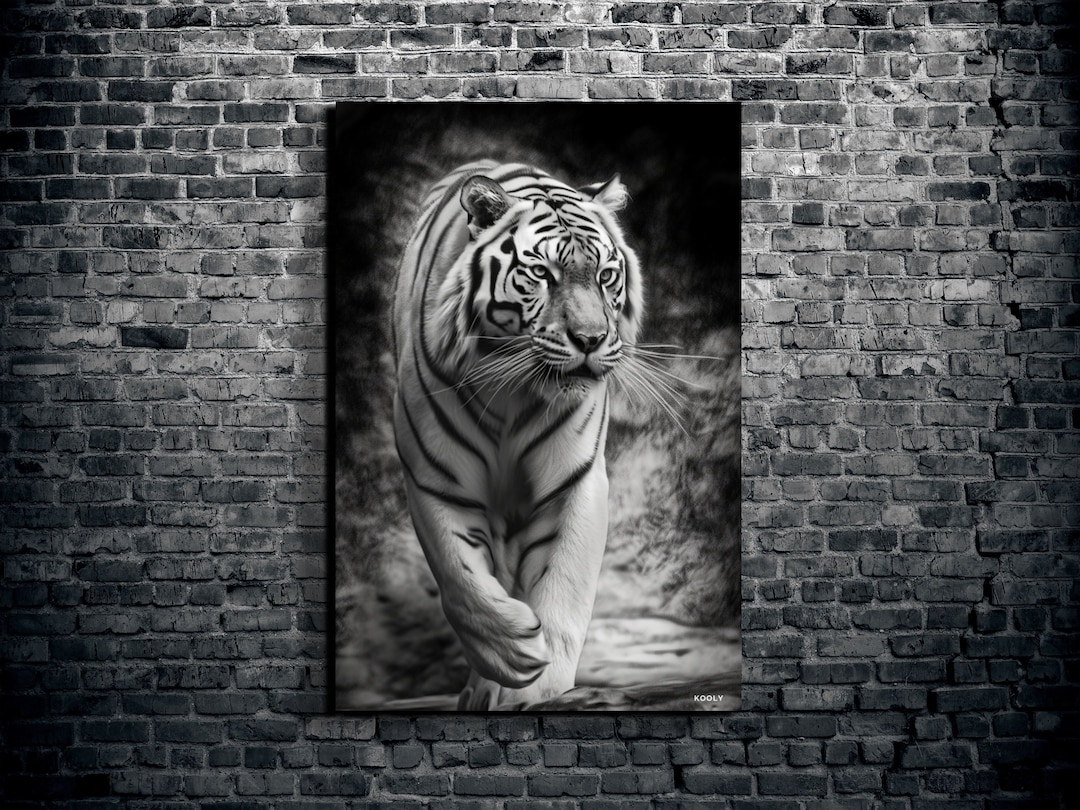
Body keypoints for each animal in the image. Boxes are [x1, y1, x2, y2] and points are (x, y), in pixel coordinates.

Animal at [392, 160, 643, 710]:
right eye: (542, 274)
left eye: (605, 275)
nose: (591, 340)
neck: (513, 390)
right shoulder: (437, 480)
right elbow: (459, 576)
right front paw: (514, 651)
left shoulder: (574, 480)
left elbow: (564, 578)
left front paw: (539, 686)